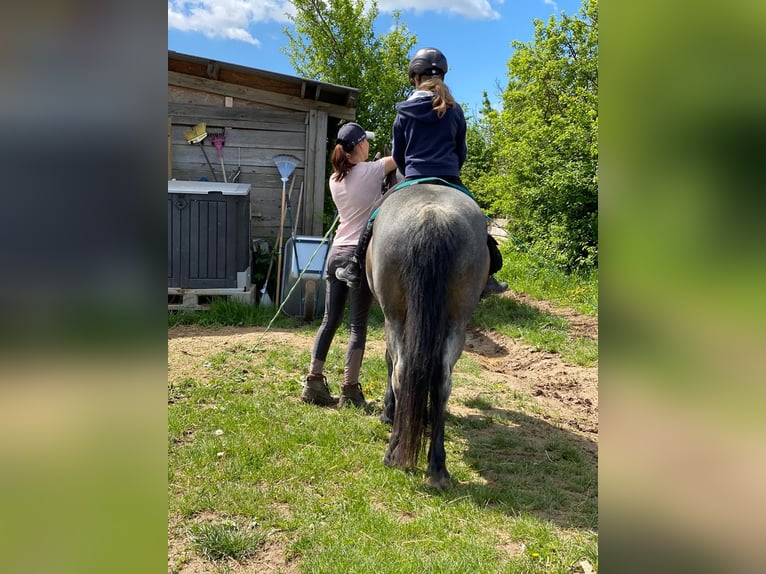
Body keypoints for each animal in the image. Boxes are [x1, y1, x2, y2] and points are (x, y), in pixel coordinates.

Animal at [368, 184, 488, 490]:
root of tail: (432, 218)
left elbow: (390, 362)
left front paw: (390, 413)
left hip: (395, 318)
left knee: (400, 371)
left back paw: (394, 453)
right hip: (457, 323)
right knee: (443, 380)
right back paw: (437, 467)